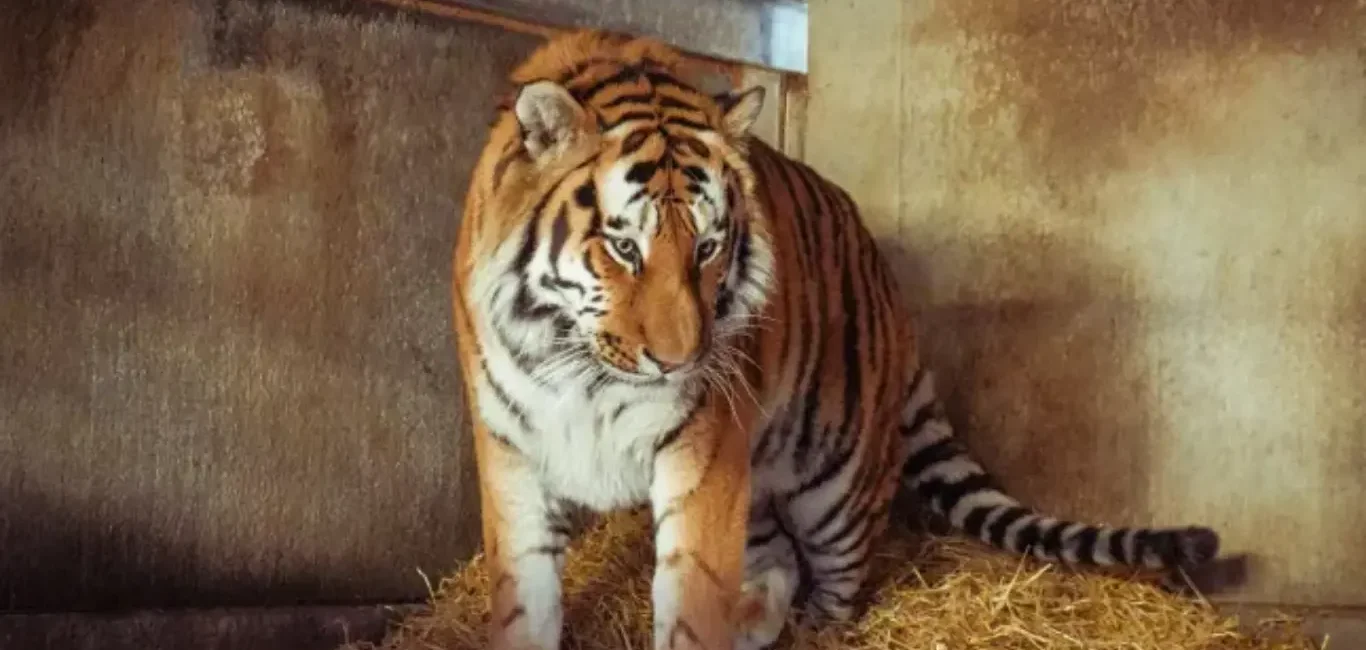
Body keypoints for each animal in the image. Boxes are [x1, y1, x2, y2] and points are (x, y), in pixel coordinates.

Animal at [450, 29, 1221, 650]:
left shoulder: (701, 455)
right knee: (777, 558)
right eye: (623, 248)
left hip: (836, 483)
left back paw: (809, 625)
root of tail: (892, 290)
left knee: (837, 578)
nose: (680, 361)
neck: (581, 370)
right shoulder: (514, 451)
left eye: (707, 248)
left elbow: (693, 604)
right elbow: (524, 604)